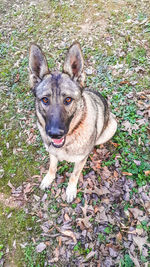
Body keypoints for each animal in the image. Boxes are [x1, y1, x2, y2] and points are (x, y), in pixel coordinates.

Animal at [28, 42, 117, 203]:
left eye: (68, 100)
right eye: (45, 100)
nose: (55, 134)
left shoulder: (80, 161)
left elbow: (74, 176)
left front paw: (70, 190)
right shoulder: (52, 153)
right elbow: (52, 167)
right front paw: (49, 179)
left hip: (112, 127)